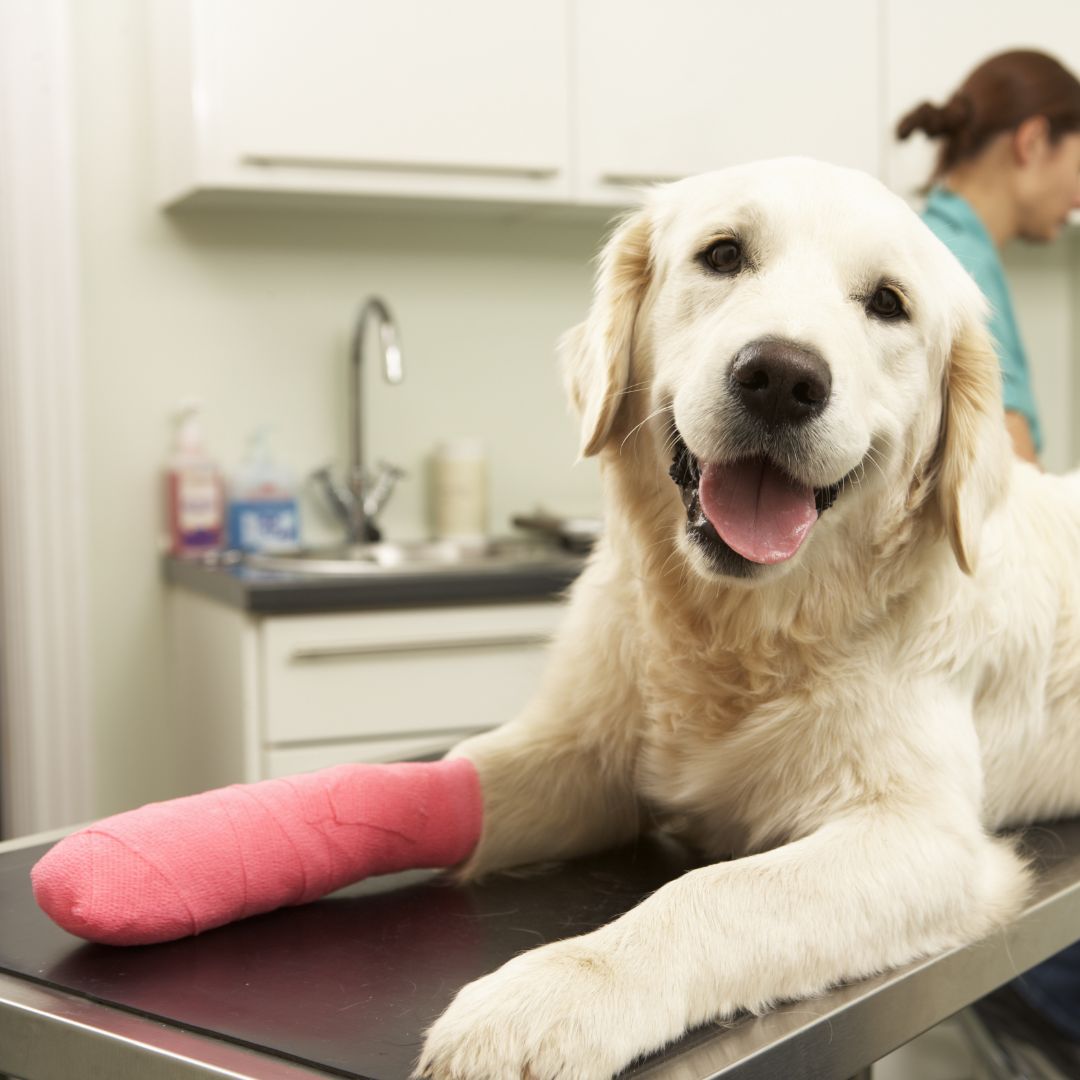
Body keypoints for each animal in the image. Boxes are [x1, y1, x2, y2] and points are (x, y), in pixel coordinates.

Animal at [416, 157, 1080, 1080]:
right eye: (723, 254)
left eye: (889, 303)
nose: (782, 378)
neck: (740, 630)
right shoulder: (583, 754)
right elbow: (463, 775)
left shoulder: (922, 836)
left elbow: (716, 891)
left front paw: (546, 997)